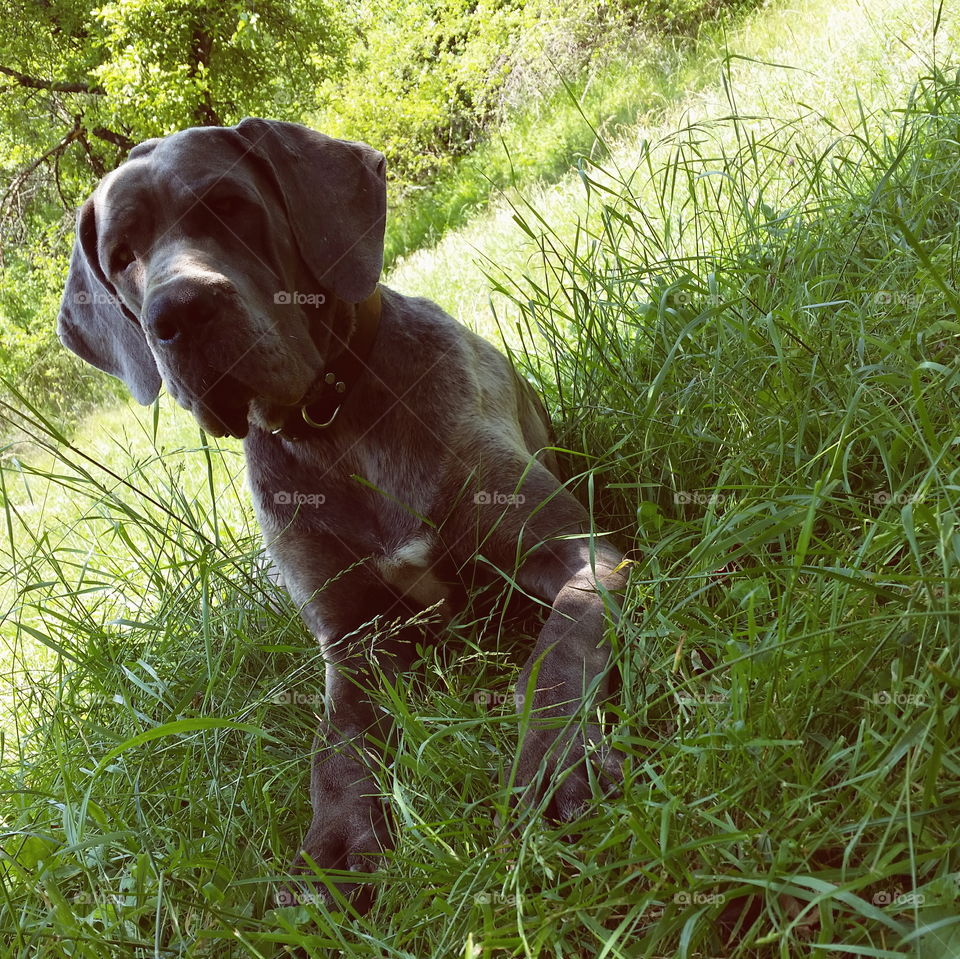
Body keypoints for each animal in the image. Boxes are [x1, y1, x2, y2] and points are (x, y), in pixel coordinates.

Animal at [58, 120, 632, 908]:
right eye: (121, 257)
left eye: (229, 205)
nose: (178, 314)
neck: (333, 419)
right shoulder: (353, 639)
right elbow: (338, 746)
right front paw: (337, 842)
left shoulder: (578, 550)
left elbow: (559, 651)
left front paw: (555, 763)